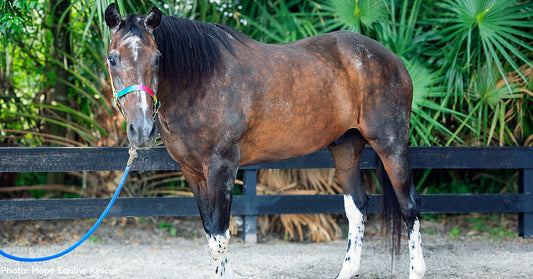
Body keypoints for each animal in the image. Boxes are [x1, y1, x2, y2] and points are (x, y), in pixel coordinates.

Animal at [106, 4, 426, 279]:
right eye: (112, 58)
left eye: (158, 58)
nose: (142, 129)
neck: (200, 83)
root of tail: (392, 59)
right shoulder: (192, 172)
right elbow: (210, 234)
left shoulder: (222, 167)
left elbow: (220, 236)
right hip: (346, 147)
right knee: (357, 206)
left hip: (391, 144)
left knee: (409, 204)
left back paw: (416, 270)